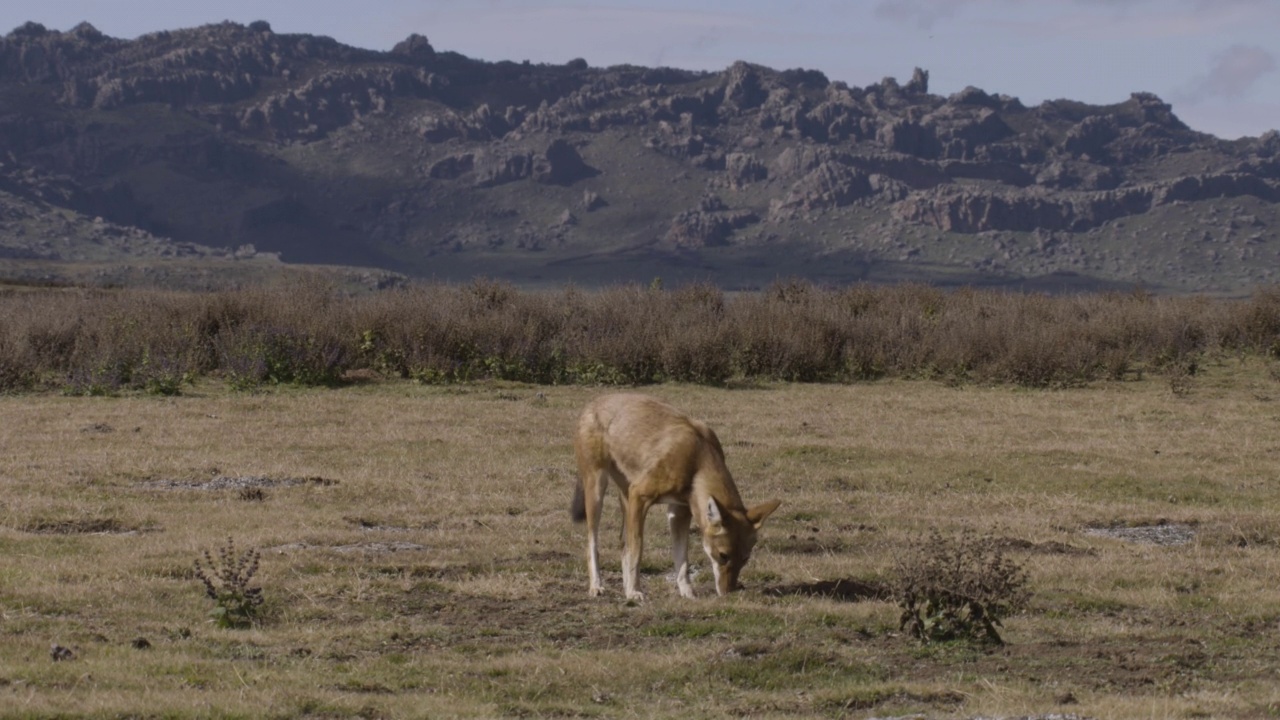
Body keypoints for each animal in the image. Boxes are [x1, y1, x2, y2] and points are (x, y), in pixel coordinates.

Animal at [573, 389, 778, 597]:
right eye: (723, 555)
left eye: (745, 559)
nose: (729, 593)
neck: (696, 460)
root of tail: (594, 401)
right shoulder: (640, 497)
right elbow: (637, 551)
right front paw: (634, 591)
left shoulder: (679, 512)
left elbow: (682, 560)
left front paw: (687, 593)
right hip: (597, 494)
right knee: (592, 545)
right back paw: (597, 586)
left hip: (626, 499)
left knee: (622, 545)